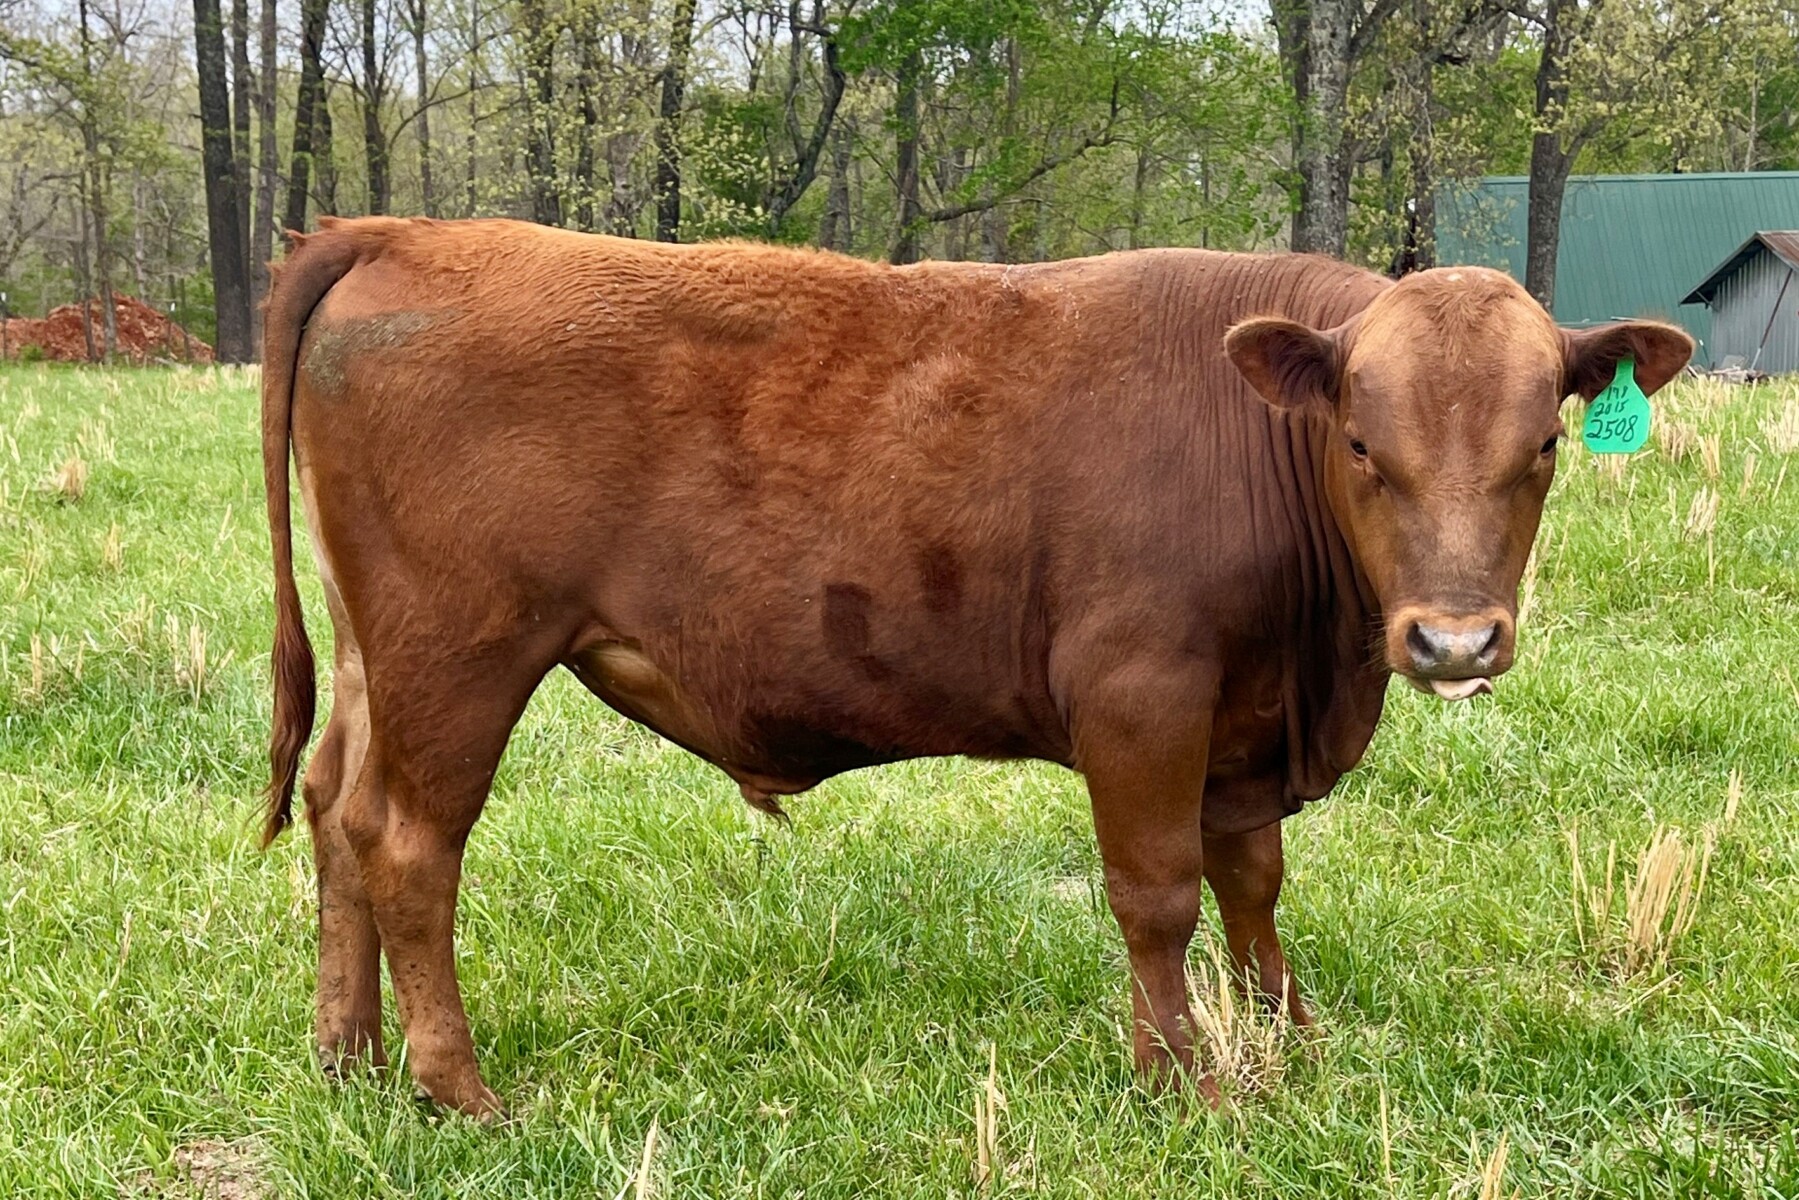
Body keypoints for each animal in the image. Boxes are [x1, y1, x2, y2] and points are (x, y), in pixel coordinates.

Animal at [259, 216, 1692, 1118]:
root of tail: (403, 230)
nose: (1450, 641)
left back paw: (347, 1056)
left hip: (377, 657)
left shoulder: (1240, 718)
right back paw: (459, 1090)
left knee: (333, 808)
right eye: (1357, 443)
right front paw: (1180, 1080)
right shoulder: (1140, 692)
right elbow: (1156, 895)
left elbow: (1252, 885)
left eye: (1542, 444)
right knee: (408, 845)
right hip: (461, 654)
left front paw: (1288, 1038)